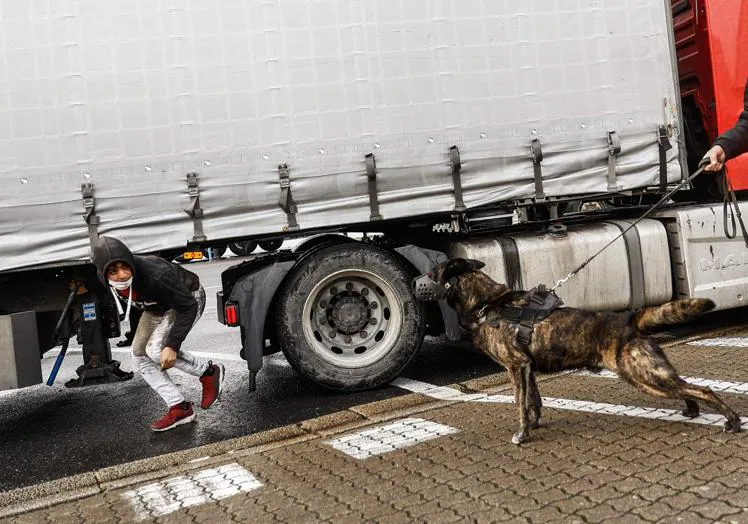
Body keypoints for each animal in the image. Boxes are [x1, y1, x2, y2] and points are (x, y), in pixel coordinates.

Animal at [432, 258, 744, 442]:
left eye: (432, 271)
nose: (421, 280)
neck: (489, 303)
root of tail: (629, 320)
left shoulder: (515, 366)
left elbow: (520, 404)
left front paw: (522, 434)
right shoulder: (527, 368)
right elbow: (534, 401)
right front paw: (534, 425)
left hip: (641, 375)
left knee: (702, 389)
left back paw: (733, 421)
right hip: (652, 374)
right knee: (685, 388)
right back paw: (692, 410)